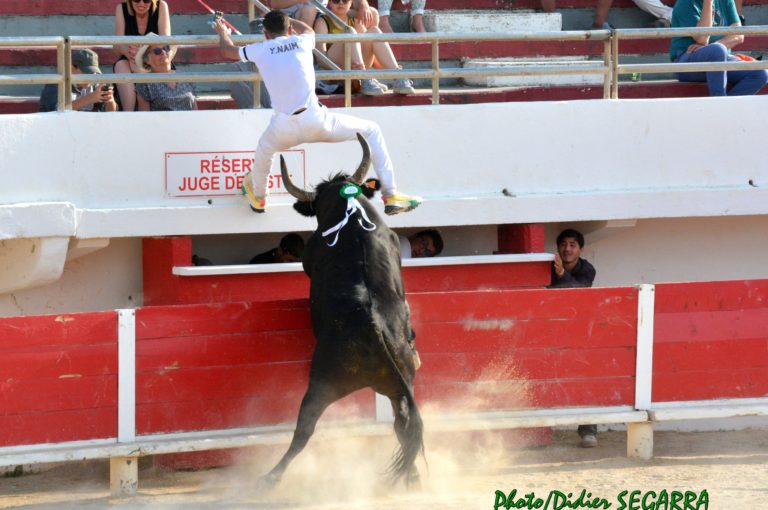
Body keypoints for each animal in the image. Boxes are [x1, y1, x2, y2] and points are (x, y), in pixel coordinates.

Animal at [260, 133, 424, 488]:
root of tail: (373, 327)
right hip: (401, 383)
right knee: (403, 425)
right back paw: (413, 476)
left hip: (322, 383)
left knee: (304, 430)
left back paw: (270, 477)